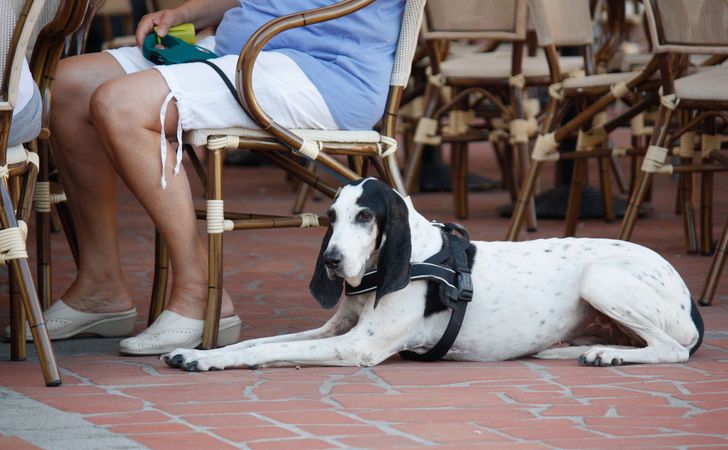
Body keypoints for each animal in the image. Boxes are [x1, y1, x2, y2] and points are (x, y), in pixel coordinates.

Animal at [164, 178, 700, 370]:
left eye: (366, 216)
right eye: (332, 217)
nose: (332, 261)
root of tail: (690, 298)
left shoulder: (356, 347)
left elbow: (266, 352)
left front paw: (208, 362)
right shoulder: (334, 328)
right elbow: (256, 343)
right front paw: (198, 351)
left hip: (599, 280)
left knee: (670, 350)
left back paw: (610, 355)